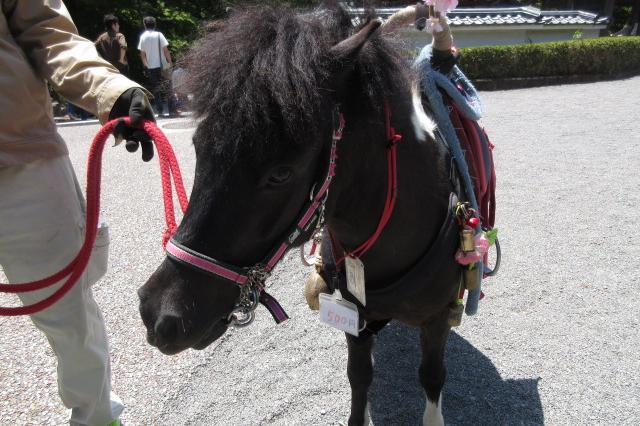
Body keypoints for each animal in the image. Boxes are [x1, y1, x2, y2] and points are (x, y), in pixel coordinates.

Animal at [138, 6, 463, 425]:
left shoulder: (436, 320)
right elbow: (359, 376)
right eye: (197, 148)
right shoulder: (353, 316)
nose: (158, 313)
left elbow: (432, 376)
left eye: (280, 174)